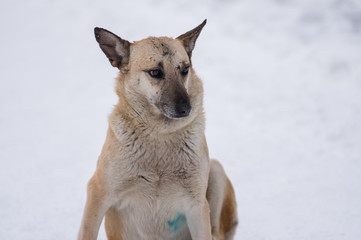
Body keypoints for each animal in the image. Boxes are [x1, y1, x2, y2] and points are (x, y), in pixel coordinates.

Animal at [78, 19, 236, 239]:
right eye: (155, 72)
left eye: (184, 69)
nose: (186, 109)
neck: (159, 134)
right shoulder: (98, 193)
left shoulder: (196, 206)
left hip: (216, 169)